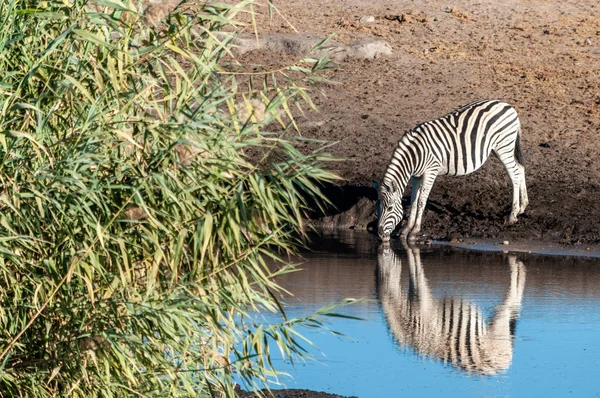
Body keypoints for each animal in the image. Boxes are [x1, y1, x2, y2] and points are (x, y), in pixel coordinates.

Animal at [378, 99, 528, 243]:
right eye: (379, 205)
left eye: (390, 208)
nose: (380, 234)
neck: (415, 155)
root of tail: (508, 106)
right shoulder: (416, 175)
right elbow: (414, 201)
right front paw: (406, 230)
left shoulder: (431, 170)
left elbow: (421, 201)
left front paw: (414, 231)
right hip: (499, 148)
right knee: (520, 168)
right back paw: (522, 207)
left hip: (503, 146)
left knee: (514, 174)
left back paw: (512, 215)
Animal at [378, 243, 528, 376]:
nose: (383, 248)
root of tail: (502, 366)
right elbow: (414, 274)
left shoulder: (424, 306)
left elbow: (418, 276)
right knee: (514, 301)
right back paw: (520, 267)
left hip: (497, 327)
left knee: (509, 302)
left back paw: (514, 264)